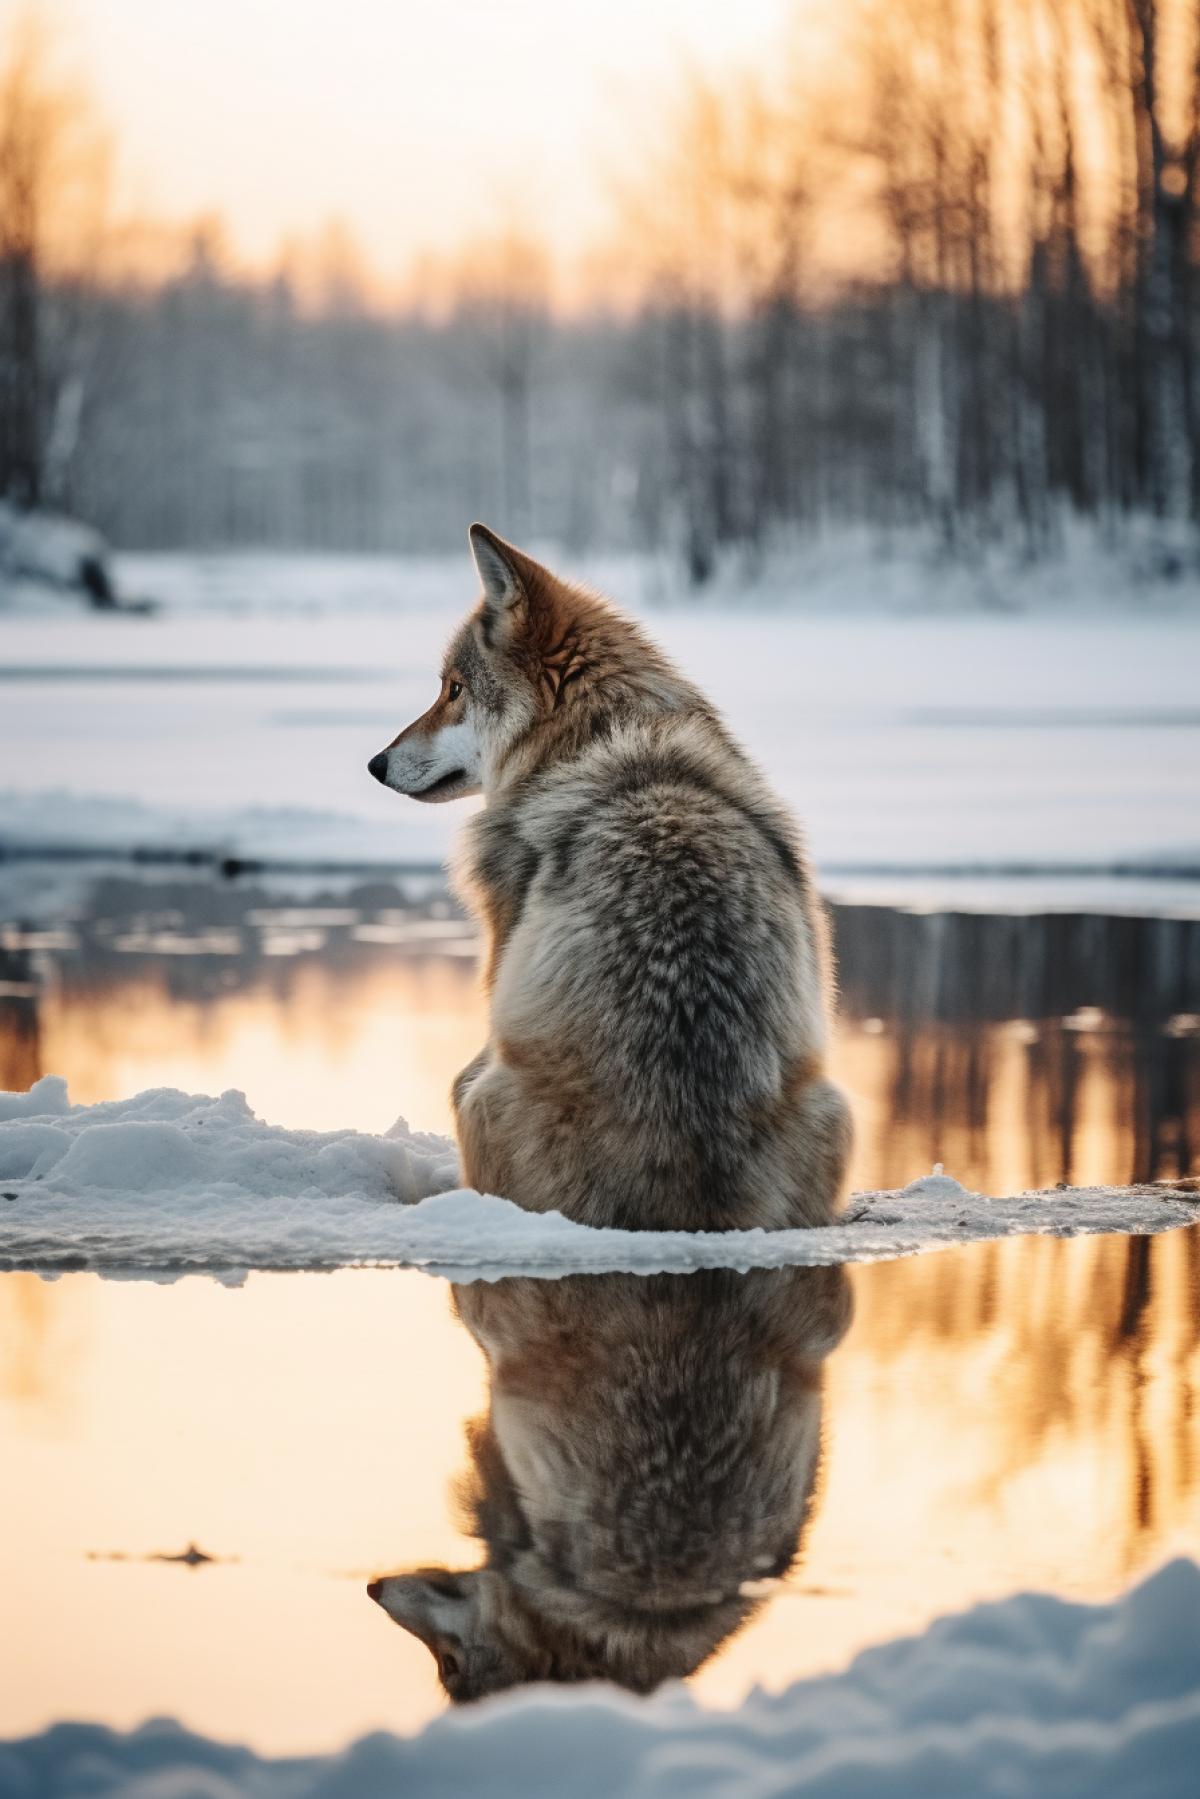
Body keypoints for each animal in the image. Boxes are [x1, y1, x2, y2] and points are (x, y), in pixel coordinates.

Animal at [368, 524, 852, 1232]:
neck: (600, 735)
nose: (375, 764)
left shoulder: (498, 961)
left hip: (483, 1093)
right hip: (839, 1107)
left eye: (453, 689)